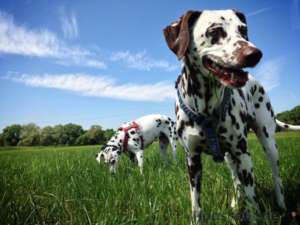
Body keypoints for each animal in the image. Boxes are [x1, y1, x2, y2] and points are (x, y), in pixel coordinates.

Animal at [164, 9, 300, 222]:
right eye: (215, 31)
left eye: (243, 30)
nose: (255, 54)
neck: (207, 107)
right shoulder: (193, 160)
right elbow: (196, 204)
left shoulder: (243, 154)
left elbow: (253, 200)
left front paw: (255, 217)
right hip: (229, 157)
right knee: (236, 180)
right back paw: (236, 203)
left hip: (268, 143)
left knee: (276, 178)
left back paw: (281, 204)